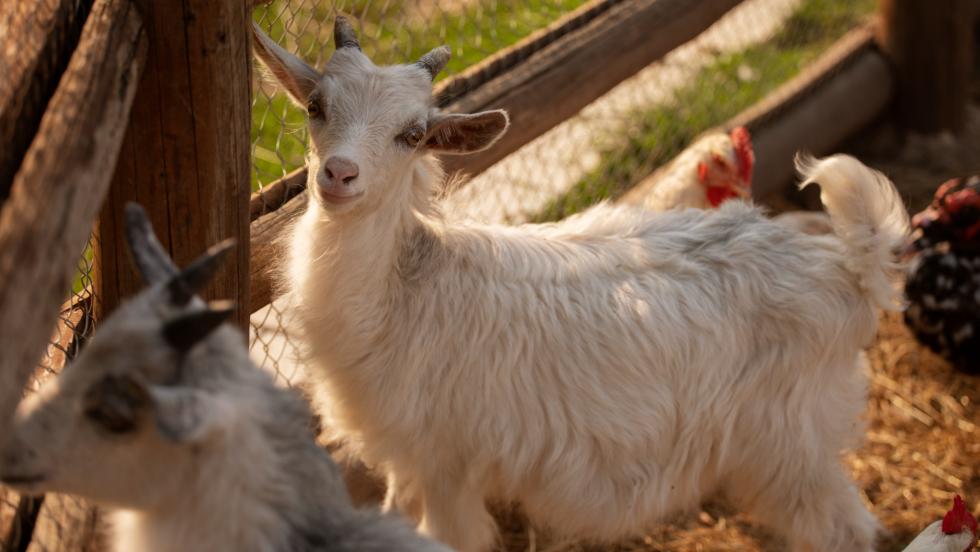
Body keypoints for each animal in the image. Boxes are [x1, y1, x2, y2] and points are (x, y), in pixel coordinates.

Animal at [255, 17, 912, 552]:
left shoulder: (448, 461)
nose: (339, 175)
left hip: (791, 439)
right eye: (315, 106)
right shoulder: (406, 457)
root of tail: (847, 266)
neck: (406, 288)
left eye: (412, 134)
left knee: (843, 529)